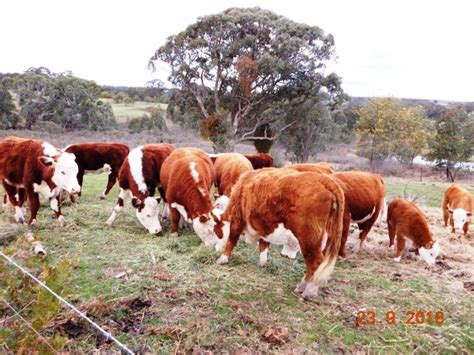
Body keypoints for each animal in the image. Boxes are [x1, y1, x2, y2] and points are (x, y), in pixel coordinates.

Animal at [213, 168, 342, 302]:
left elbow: (231, 241)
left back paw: (308, 292)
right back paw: (302, 287)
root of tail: (325, 180)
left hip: (309, 237)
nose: (213, 248)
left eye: (213, 228)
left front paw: (222, 259)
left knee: (315, 262)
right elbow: (263, 245)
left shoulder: (236, 220)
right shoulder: (264, 228)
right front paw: (262, 263)